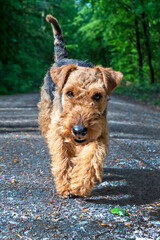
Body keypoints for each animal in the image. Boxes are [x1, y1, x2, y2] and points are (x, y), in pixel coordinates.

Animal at [38, 14, 123, 197]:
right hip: (46, 114)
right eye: (69, 93)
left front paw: (79, 184)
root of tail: (63, 58)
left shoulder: (99, 133)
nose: (79, 130)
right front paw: (65, 186)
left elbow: (92, 156)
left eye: (97, 95)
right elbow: (62, 158)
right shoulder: (58, 131)